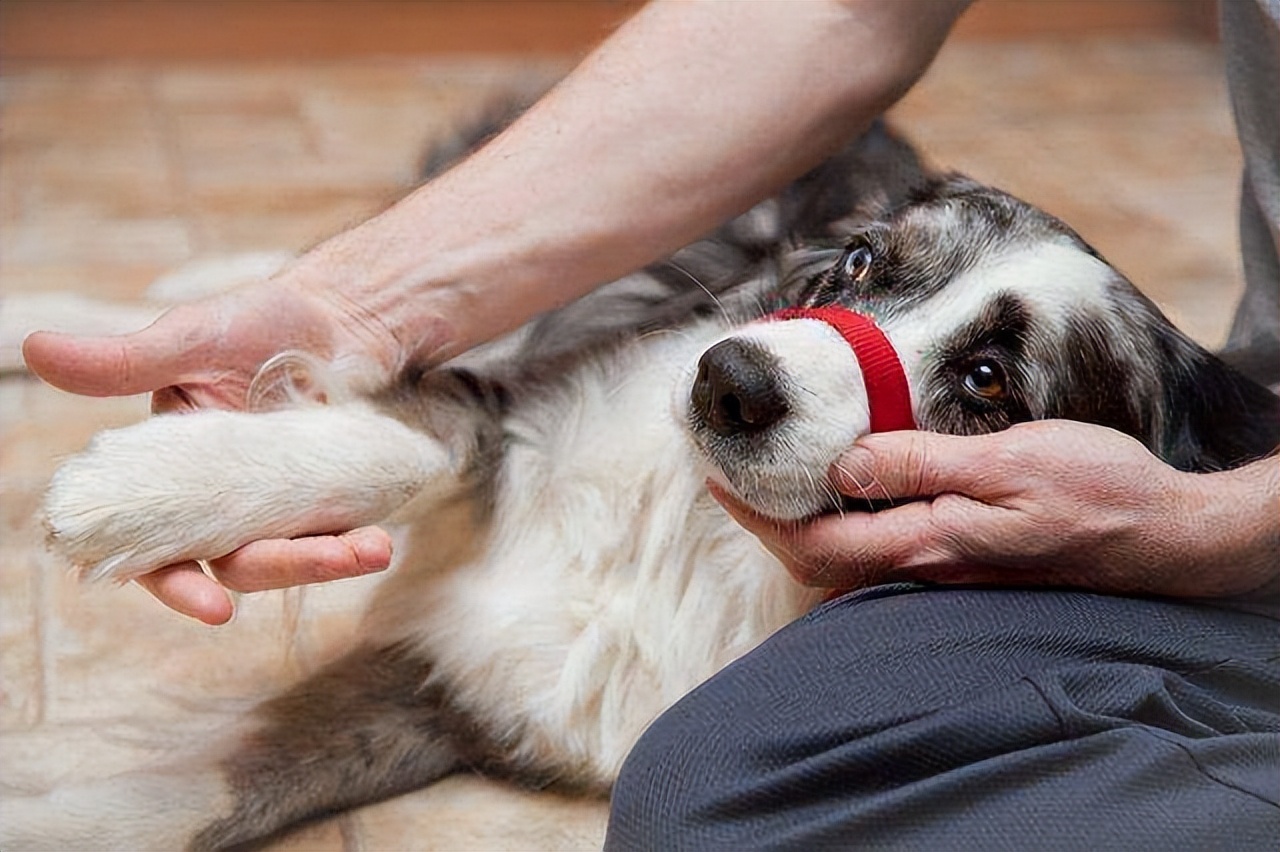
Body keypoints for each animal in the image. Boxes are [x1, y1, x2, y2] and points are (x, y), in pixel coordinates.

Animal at [10, 120, 1280, 849]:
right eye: (861, 261)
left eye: (984, 379)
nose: (729, 381)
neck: (686, 538)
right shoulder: (506, 411)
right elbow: (397, 435)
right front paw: (142, 490)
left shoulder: (441, 697)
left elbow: (187, 798)